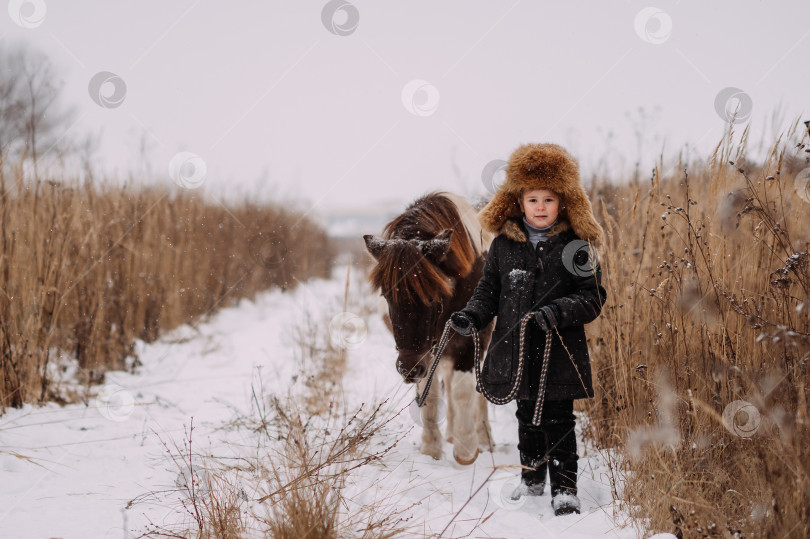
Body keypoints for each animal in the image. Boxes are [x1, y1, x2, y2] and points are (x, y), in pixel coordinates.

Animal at [364, 191, 492, 464]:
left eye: (433, 297)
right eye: (387, 296)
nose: (407, 369)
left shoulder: (470, 341)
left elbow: (464, 391)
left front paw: (466, 451)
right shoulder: (427, 352)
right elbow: (430, 394)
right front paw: (432, 448)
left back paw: (483, 438)